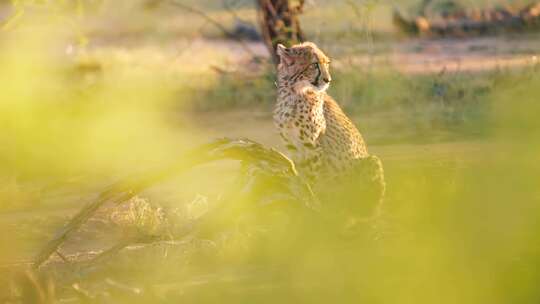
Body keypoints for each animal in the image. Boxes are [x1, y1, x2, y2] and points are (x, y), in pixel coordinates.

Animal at [274, 42, 384, 218]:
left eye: (327, 64)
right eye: (314, 65)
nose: (328, 80)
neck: (294, 92)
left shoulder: (312, 146)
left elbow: (314, 179)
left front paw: (314, 204)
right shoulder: (293, 147)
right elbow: (301, 176)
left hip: (371, 162)